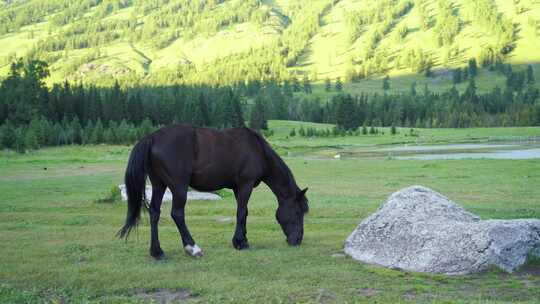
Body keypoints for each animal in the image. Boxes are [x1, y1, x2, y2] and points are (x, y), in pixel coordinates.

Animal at [120, 123, 310, 258]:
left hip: (159, 185)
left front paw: (243, 240)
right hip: (179, 187)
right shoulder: (245, 184)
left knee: (154, 212)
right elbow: (241, 212)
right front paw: (239, 242)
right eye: (298, 212)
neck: (258, 150)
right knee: (177, 214)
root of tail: (152, 138)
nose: (298, 240)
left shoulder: (237, 188)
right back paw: (193, 248)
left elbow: (244, 212)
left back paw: (157, 252)